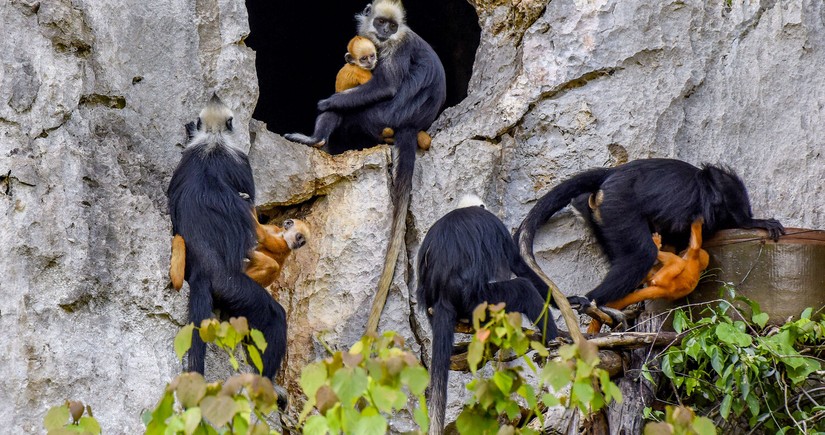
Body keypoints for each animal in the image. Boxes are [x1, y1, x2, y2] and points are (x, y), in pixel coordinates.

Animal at [286, 0, 448, 336]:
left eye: (392, 26)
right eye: (381, 22)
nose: (384, 32)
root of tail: (411, 124)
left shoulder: (396, 47)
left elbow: (384, 85)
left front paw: (326, 102)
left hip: (380, 117)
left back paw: (318, 140)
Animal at [416, 196, 556, 434]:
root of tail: (444, 296)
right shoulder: (494, 224)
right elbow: (518, 264)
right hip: (482, 301)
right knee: (524, 288)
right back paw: (558, 339)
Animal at [516, 158, 784, 316]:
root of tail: (614, 173)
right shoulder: (718, 191)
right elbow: (724, 187)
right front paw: (754, 222)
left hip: (602, 213)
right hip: (618, 205)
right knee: (641, 255)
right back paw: (591, 299)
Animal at [584, 218, 712, 334]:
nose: (682, 251)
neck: (697, 264)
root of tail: (666, 291)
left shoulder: (691, 255)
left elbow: (695, 244)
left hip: (664, 278)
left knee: (674, 264)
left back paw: (656, 246)